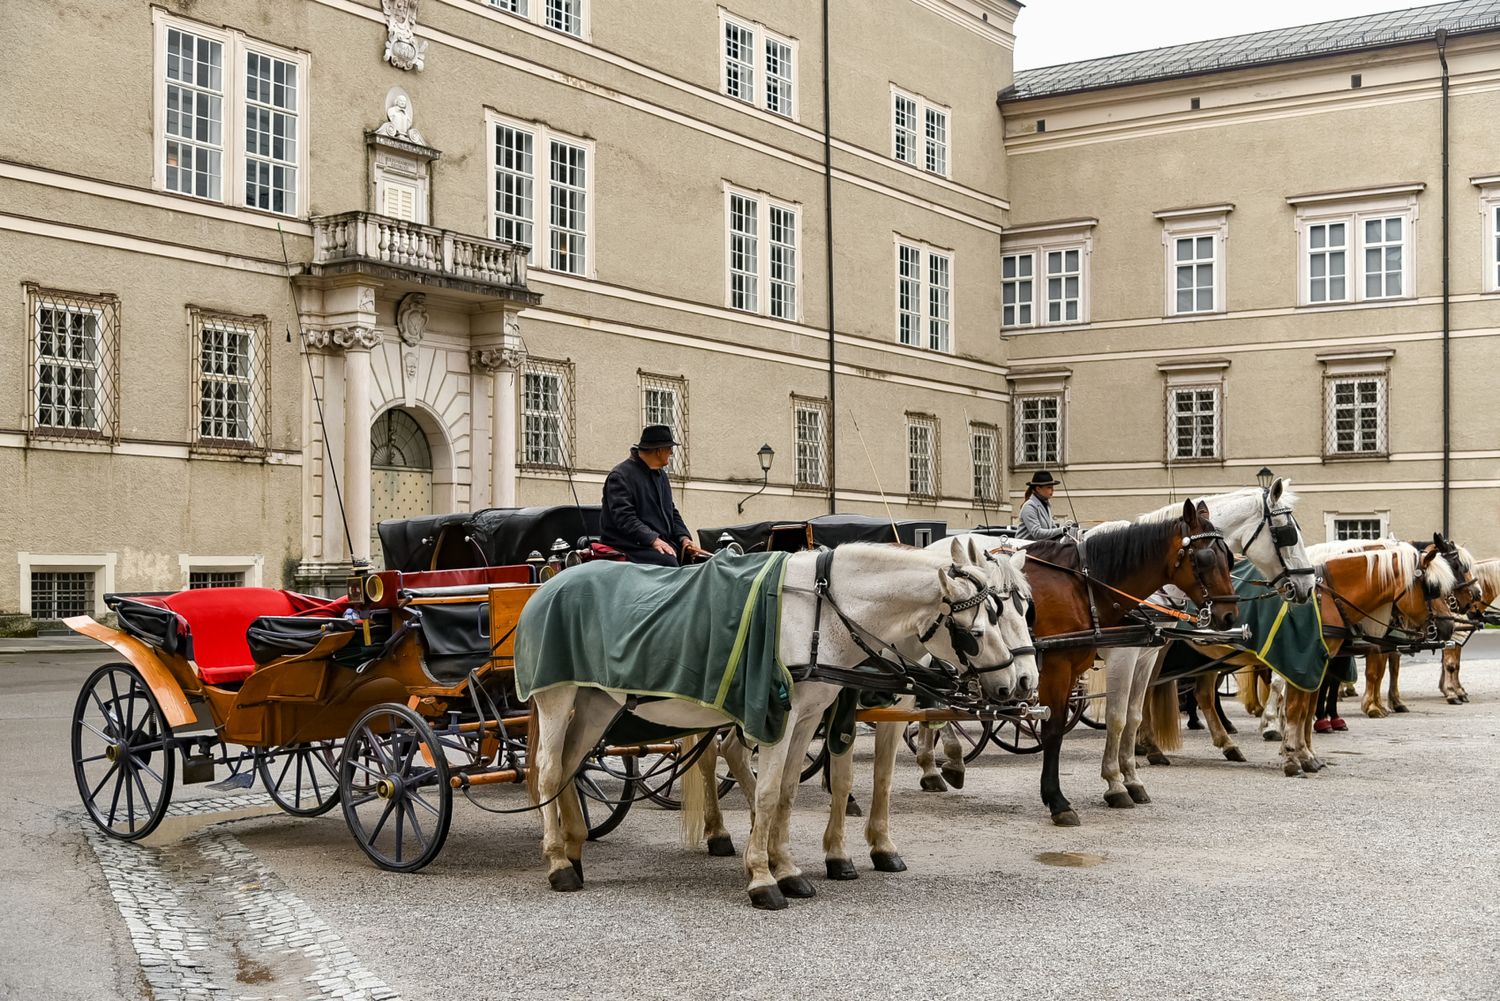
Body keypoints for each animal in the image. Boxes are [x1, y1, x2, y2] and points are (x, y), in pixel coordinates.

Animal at [522, 543, 1038, 912]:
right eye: (979, 630)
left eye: (1019, 609)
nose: (1017, 684)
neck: (822, 613)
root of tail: (550, 584)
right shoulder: (783, 718)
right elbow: (775, 791)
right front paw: (764, 876)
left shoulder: (810, 718)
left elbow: (794, 791)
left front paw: (789, 867)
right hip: (557, 700)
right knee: (549, 771)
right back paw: (558, 862)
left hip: (596, 704)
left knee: (572, 766)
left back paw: (575, 849)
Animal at [1092, 477, 1314, 804]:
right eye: (1288, 533)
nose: (1308, 585)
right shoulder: (1125, 652)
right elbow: (1118, 715)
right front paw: (1117, 779)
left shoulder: (1149, 652)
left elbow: (1135, 710)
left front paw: (1135, 765)